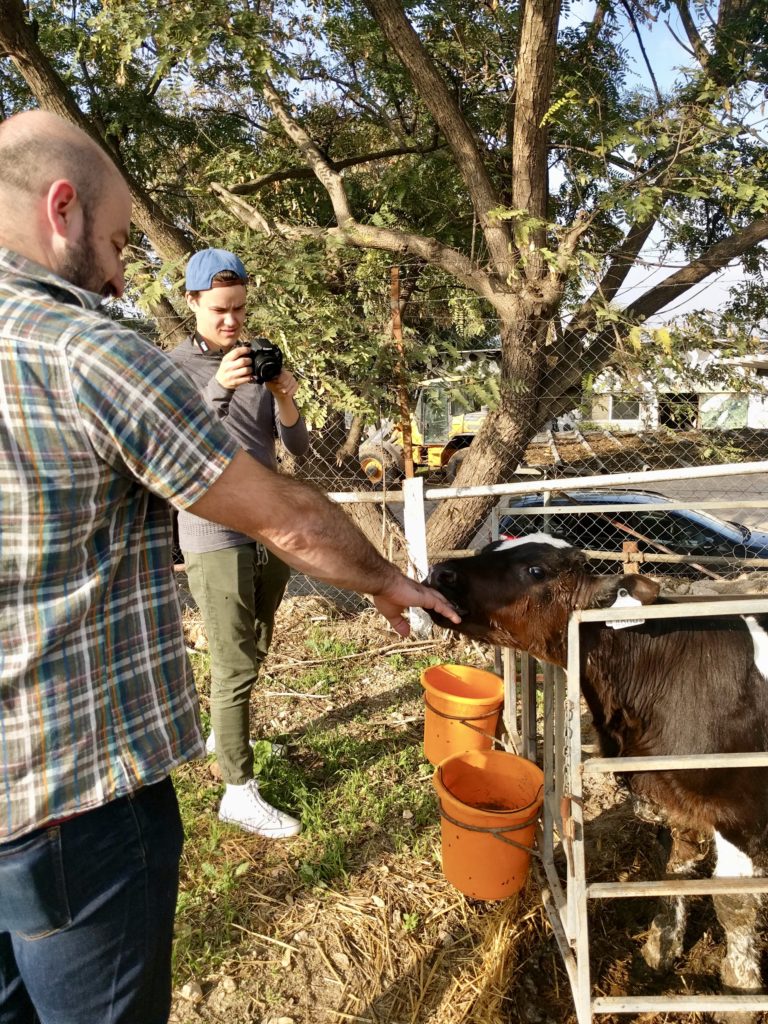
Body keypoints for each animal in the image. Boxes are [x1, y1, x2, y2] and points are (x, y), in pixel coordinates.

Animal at [428, 536, 768, 1007]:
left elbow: (734, 903)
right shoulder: (674, 792)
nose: (439, 573)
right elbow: (674, 868)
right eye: (492, 546)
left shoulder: (742, 814)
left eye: (536, 570)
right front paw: (661, 946)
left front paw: (739, 992)